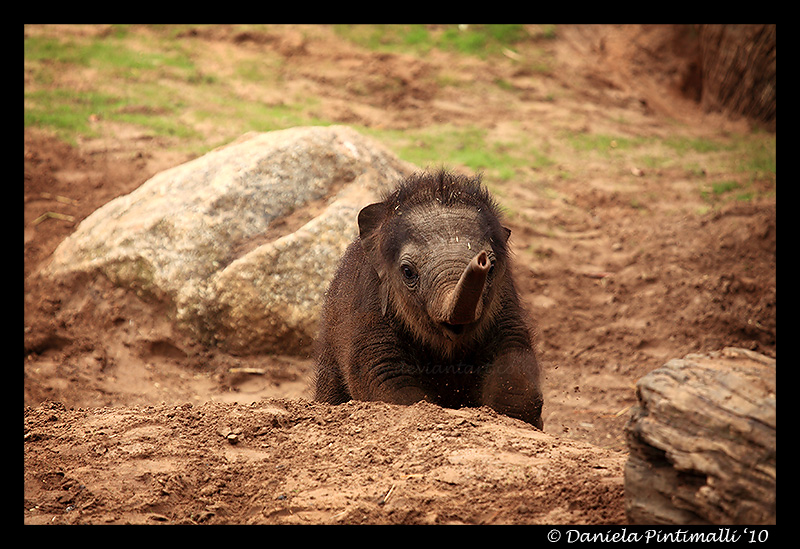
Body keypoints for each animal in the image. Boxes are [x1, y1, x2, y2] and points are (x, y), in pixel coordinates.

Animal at [314, 171, 544, 428]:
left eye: (492, 268)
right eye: (407, 272)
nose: (481, 260)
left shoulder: (505, 301)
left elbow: (514, 368)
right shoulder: (369, 301)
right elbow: (384, 375)